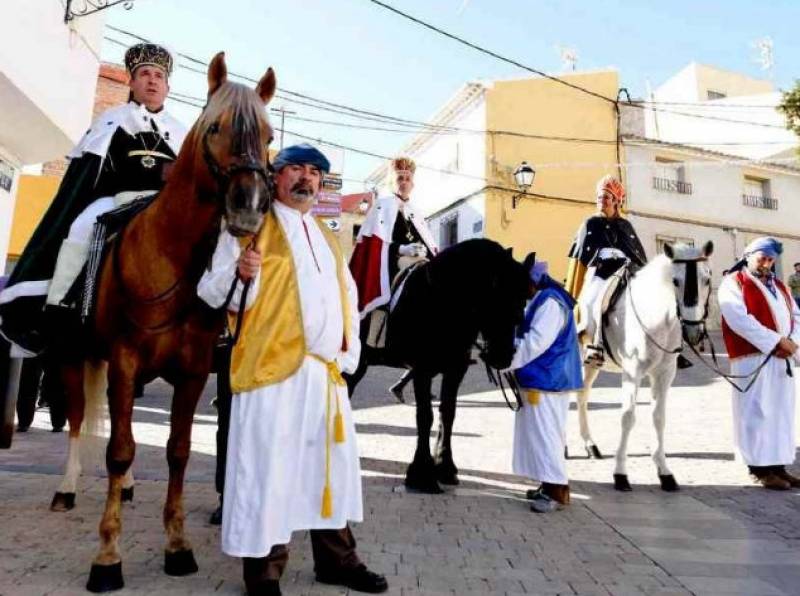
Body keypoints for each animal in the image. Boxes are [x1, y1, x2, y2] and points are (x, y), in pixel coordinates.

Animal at [48, 54, 278, 592]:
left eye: (269, 135)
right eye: (215, 127)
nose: (248, 210)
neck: (170, 255)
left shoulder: (191, 374)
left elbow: (177, 451)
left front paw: (177, 546)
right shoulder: (125, 362)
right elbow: (118, 451)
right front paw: (107, 555)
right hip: (72, 356)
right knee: (76, 420)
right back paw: (67, 488)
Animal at [344, 237, 532, 494]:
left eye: (523, 302)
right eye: (496, 299)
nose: (502, 357)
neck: (442, 304)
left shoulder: (455, 371)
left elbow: (448, 414)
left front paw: (445, 466)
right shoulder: (422, 371)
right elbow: (426, 416)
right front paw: (422, 473)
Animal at [576, 240, 712, 492]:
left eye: (707, 278)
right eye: (675, 280)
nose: (693, 331)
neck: (657, 319)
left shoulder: (665, 374)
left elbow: (659, 417)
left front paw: (664, 471)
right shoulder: (633, 372)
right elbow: (628, 417)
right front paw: (620, 473)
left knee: (581, 396)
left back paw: (590, 445)